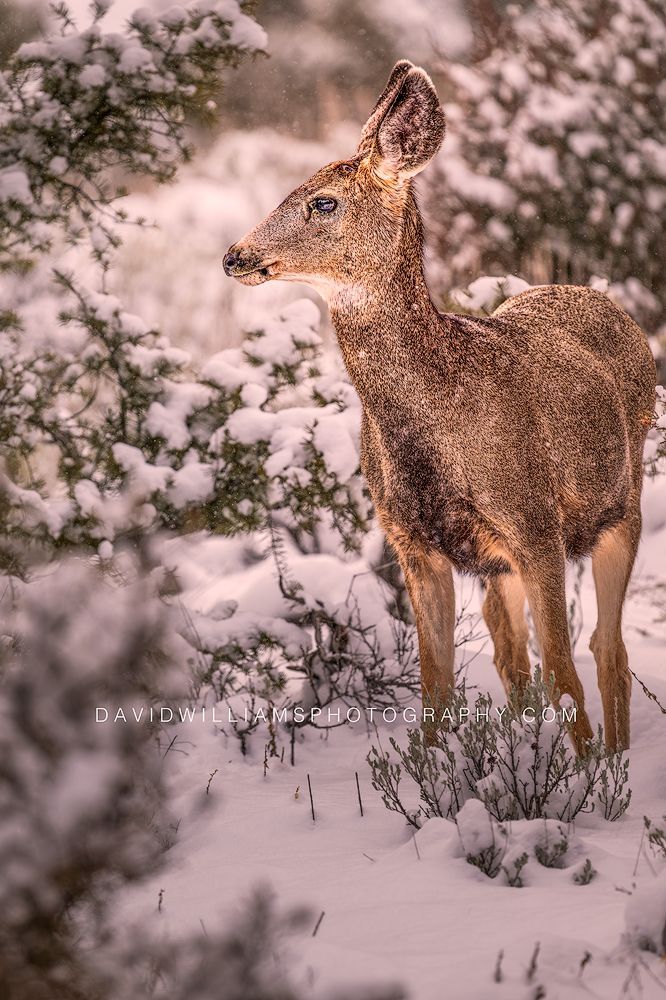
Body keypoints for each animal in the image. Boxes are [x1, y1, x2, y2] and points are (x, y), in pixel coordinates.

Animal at [223, 60, 657, 754]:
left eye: (322, 201)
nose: (234, 255)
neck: (437, 417)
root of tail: (601, 299)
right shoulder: (412, 542)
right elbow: (435, 685)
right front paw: (437, 765)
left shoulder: (535, 522)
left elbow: (563, 670)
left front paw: (585, 770)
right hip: (497, 565)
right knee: (513, 656)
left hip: (622, 505)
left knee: (604, 645)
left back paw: (613, 756)